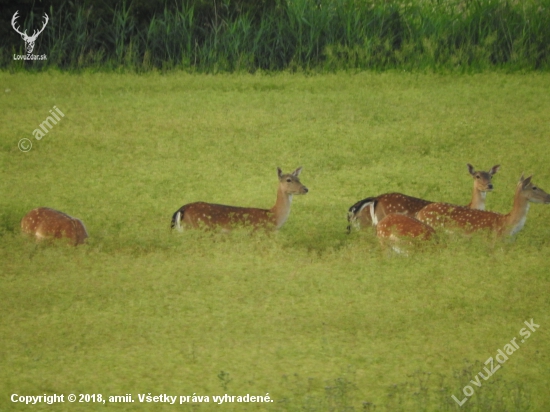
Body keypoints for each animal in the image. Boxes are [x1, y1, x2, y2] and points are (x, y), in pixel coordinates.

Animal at [171, 167, 308, 232]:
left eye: (299, 179)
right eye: (288, 180)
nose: (306, 189)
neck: (274, 217)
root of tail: (181, 209)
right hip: (199, 228)